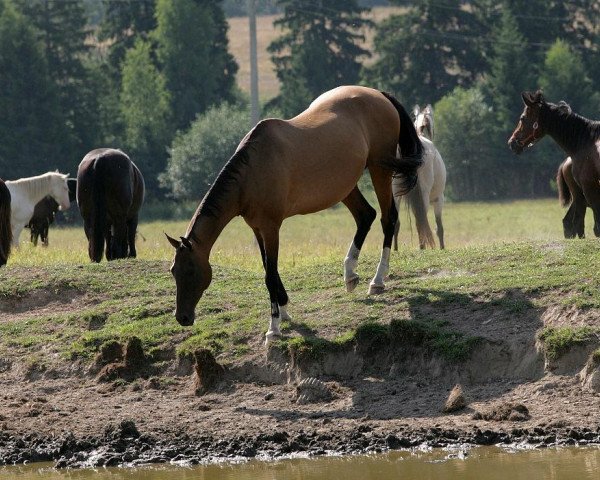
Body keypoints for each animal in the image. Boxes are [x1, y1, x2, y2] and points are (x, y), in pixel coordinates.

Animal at [166, 84, 424, 344]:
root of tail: (379, 94)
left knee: (387, 219)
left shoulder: (271, 228)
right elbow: (268, 269)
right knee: (365, 216)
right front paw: (284, 310)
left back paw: (378, 280)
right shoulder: (257, 228)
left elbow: (270, 274)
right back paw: (350, 273)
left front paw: (273, 327)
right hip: (345, 186)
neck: (253, 171)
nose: (182, 317)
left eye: (191, 270)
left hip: (380, 169)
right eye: (173, 271)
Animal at [394, 103, 446, 249]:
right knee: (420, 221)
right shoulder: (439, 199)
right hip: (425, 195)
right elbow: (439, 228)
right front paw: (442, 248)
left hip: (395, 194)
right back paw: (422, 247)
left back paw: (395, 250)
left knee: (395, 223)